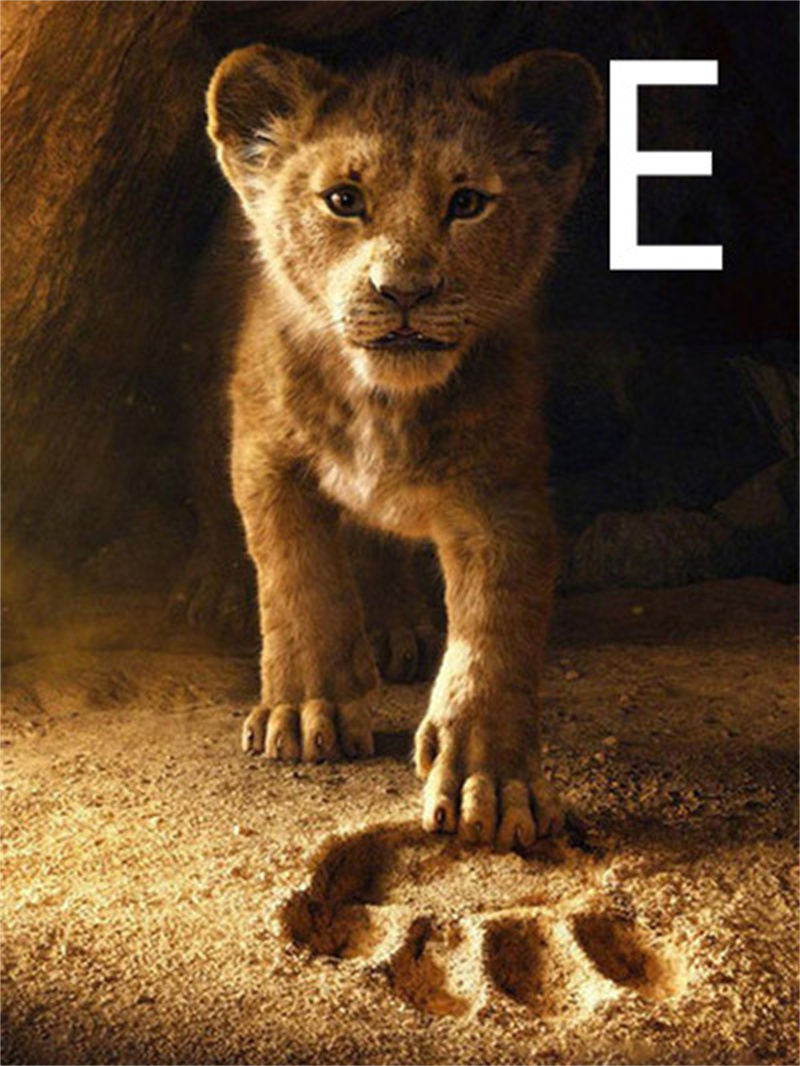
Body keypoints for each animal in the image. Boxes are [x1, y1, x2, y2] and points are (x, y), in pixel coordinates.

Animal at [199, 45, 603, 849]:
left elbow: (495, 633)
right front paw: (307, 711)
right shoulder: (265, 453)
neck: (383, 403)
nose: (405, 291)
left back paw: (396, 630)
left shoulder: (502, 496)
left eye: (468, 202)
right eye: (343, 199)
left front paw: (491, 781)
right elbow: (298, 577)